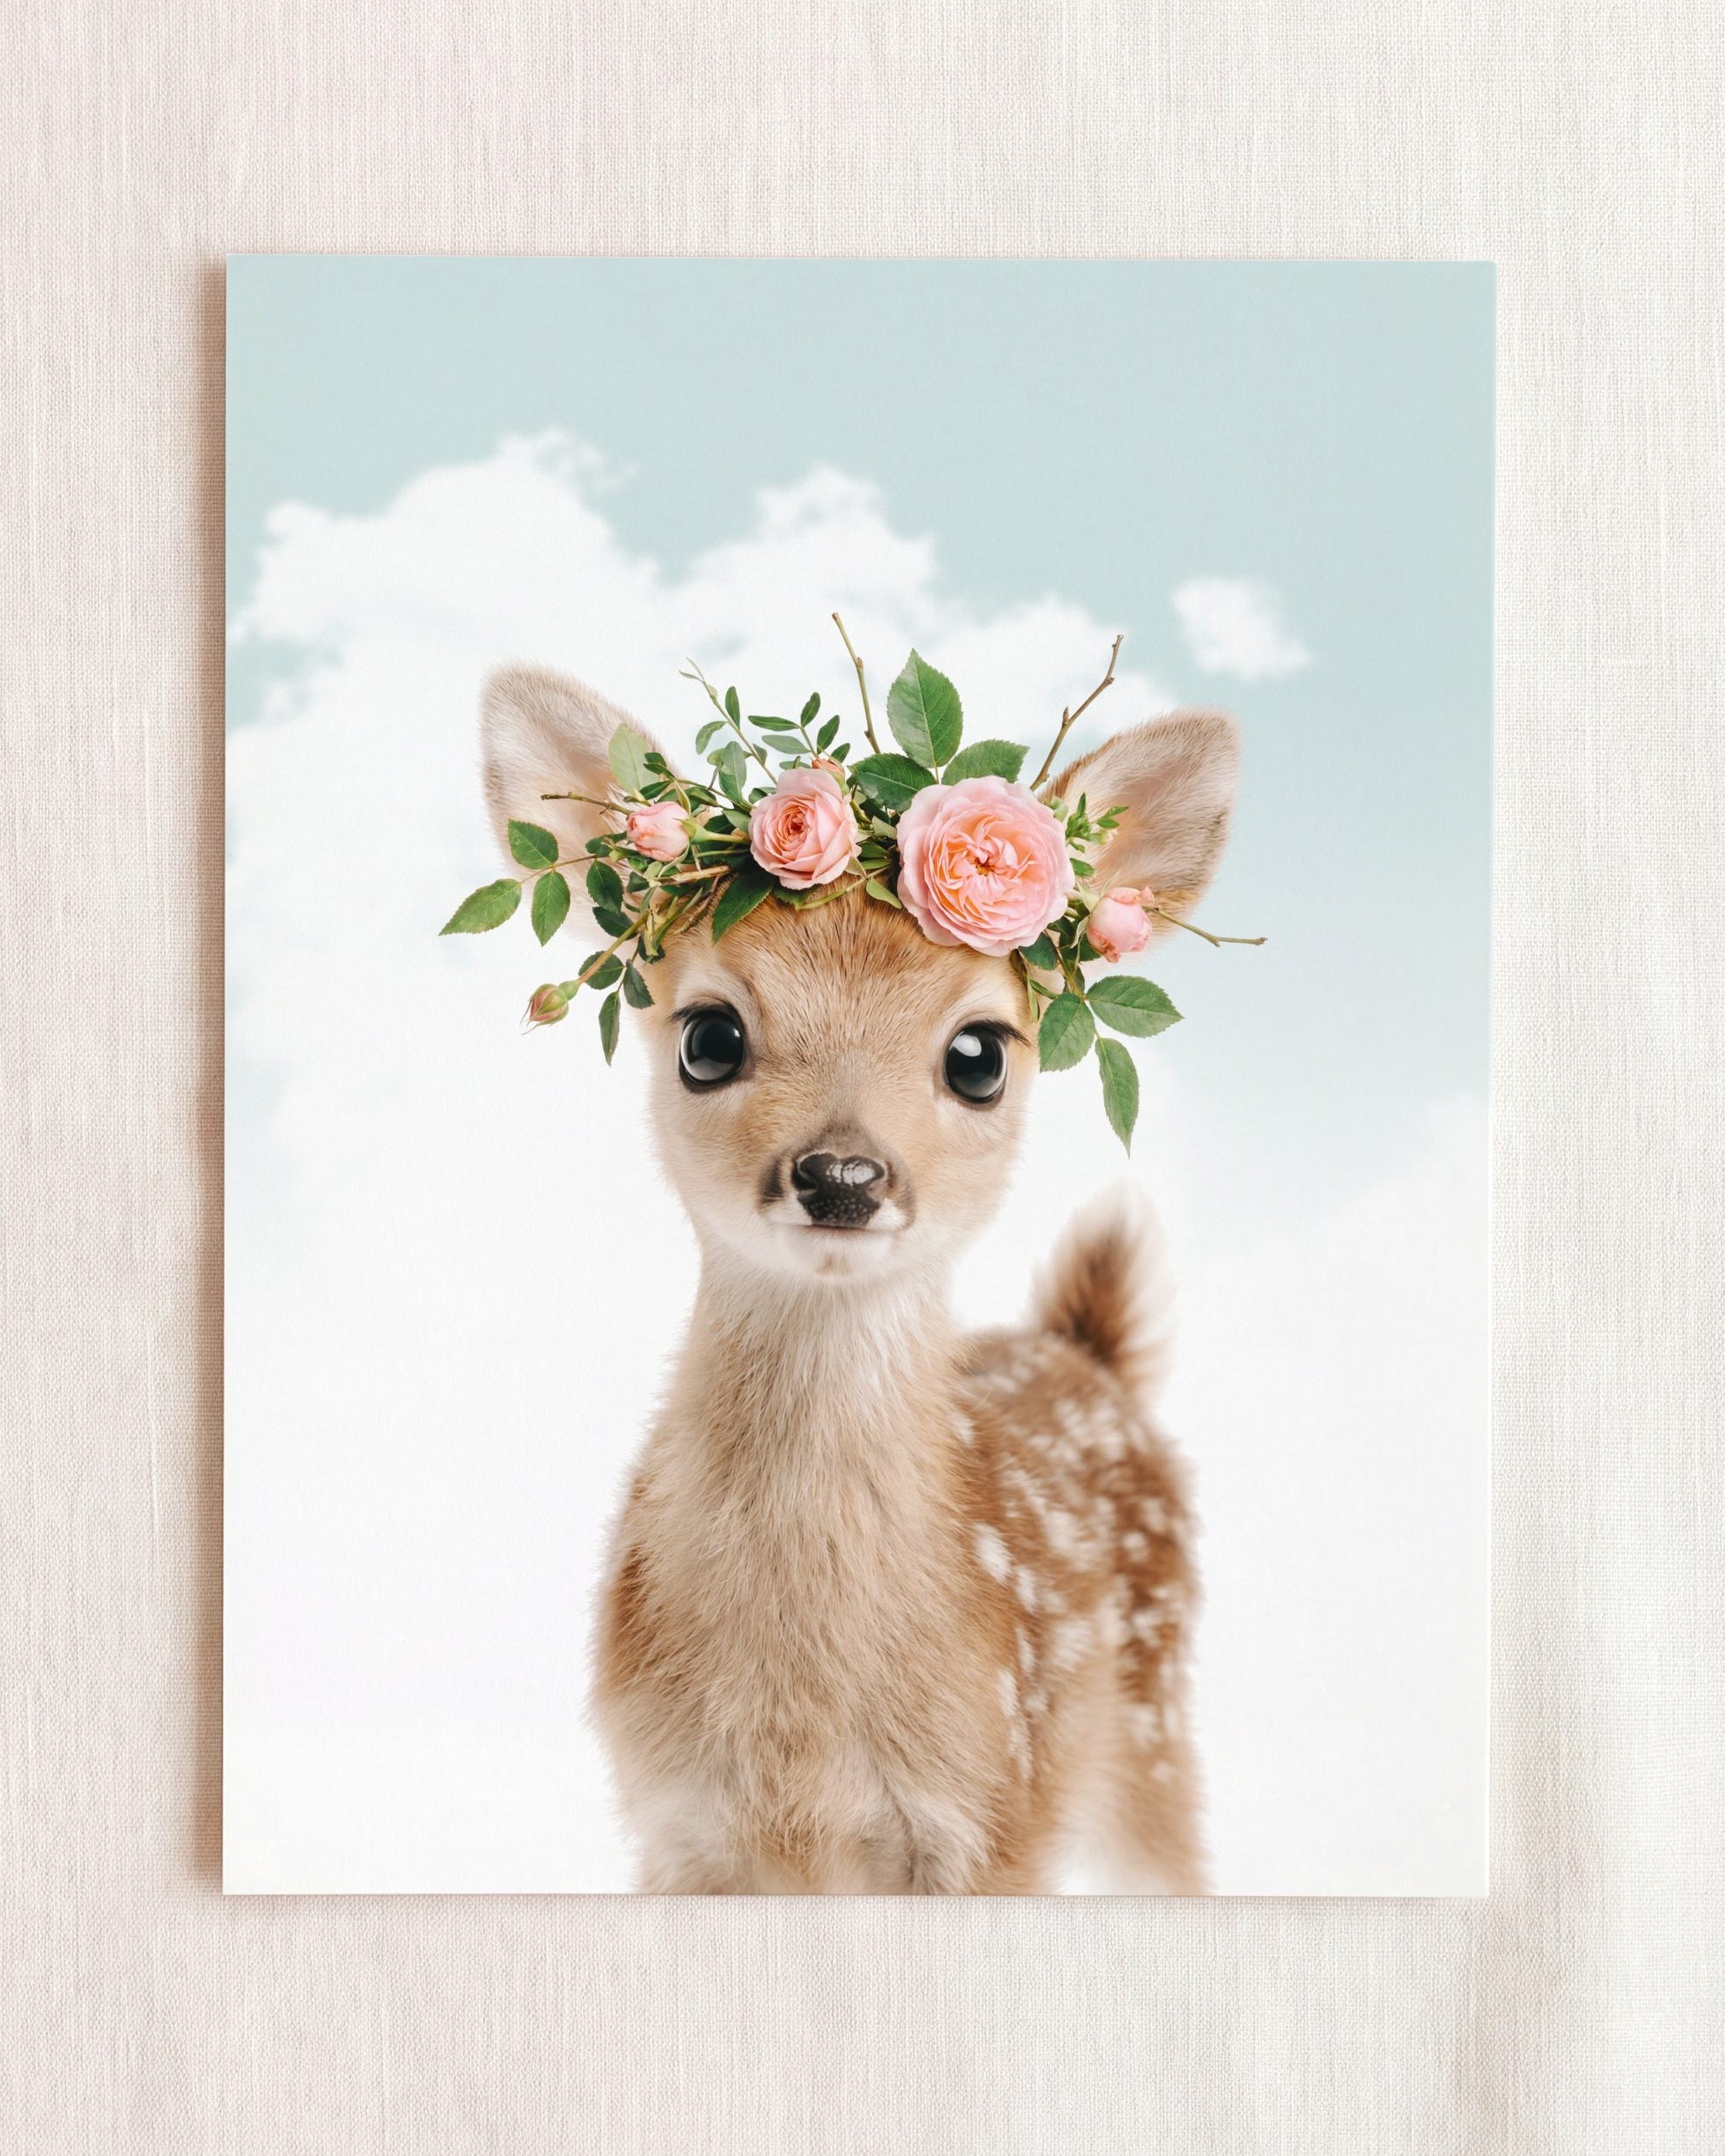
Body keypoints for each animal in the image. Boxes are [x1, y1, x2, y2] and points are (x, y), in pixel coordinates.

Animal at [478, 663, 1240, 1893]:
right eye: (708, 1037)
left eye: (979, 1054)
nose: (840, 1174)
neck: (802, 1734)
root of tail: (1087, 1351)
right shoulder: (673, 1824)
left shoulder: (994, 1813)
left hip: (1150, 1729)